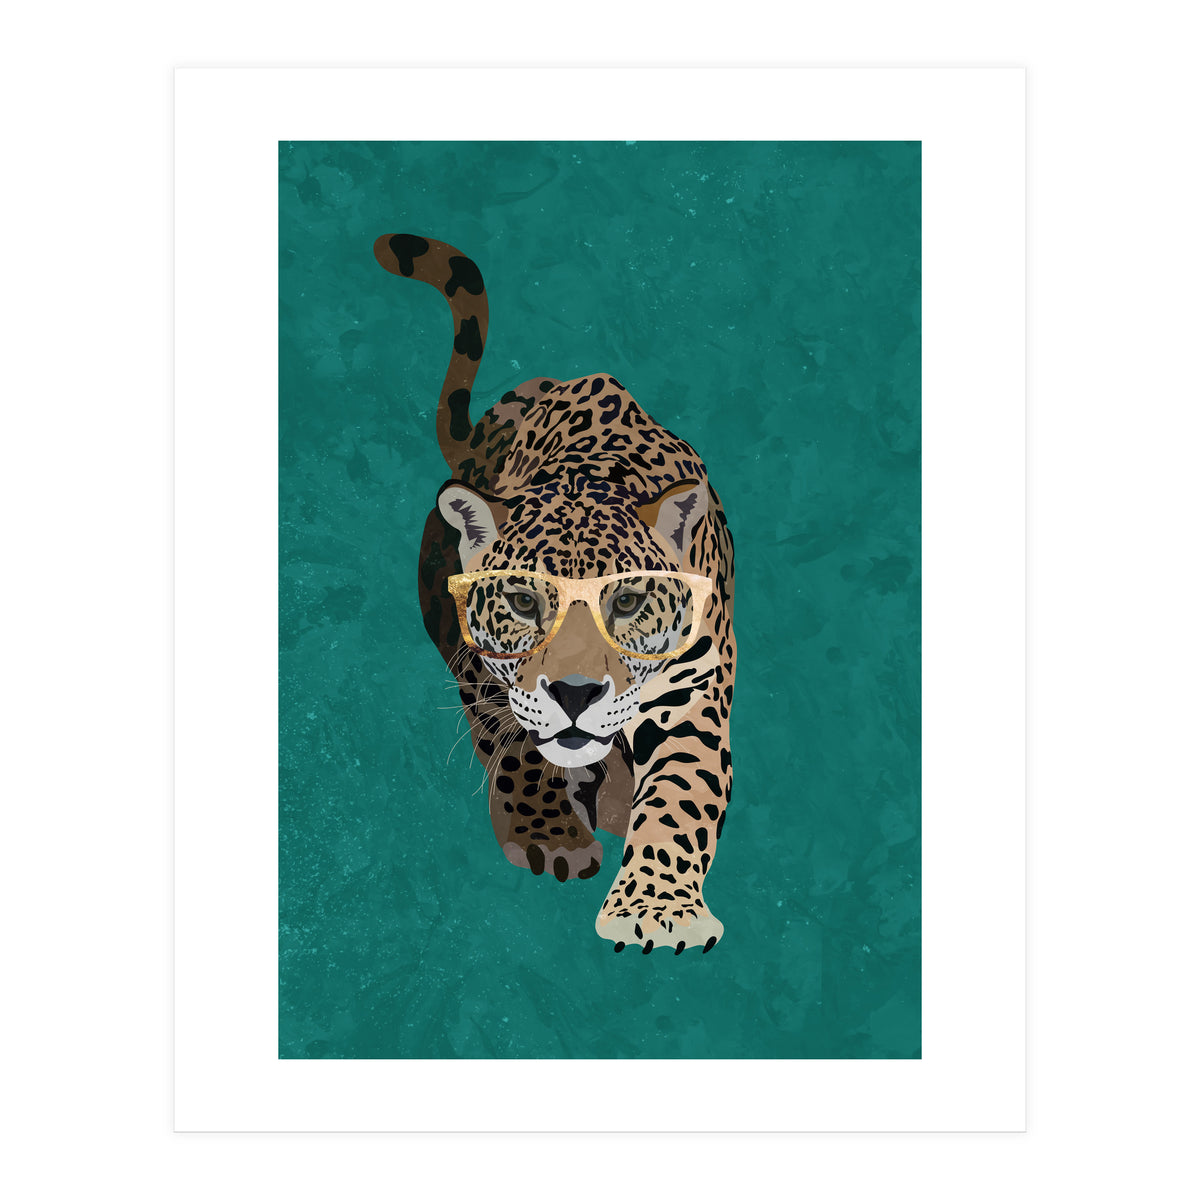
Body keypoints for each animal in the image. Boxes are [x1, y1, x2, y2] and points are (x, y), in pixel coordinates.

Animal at [374, 233, 737, 954]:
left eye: (625, 602)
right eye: (522, 602)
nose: (575, 694)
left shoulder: (692, 691)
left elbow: (680, 795)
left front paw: (656, 910)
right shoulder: (485, 671)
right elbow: (518, 746)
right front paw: (550, 835)